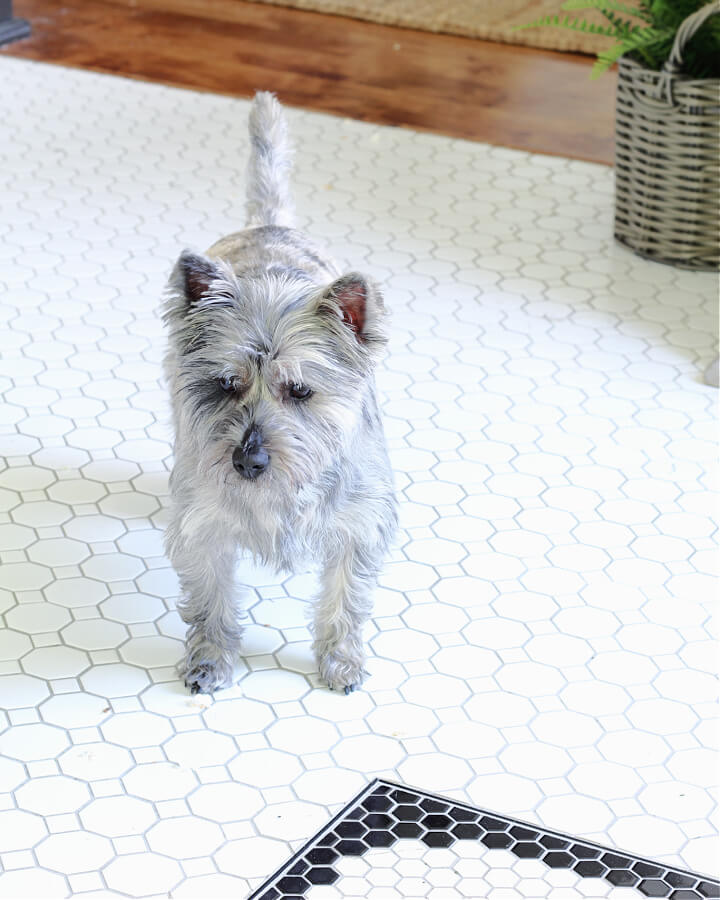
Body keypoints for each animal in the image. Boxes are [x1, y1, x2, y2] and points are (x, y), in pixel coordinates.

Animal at [162, 93, 396, 696]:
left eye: (301, 390)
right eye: (226, 385)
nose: (248, 461)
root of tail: (268, 224)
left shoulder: (357, 529)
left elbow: (345, 601)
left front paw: (342, 661)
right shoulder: (204, 531)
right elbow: (210, 602)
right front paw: (210, 660)